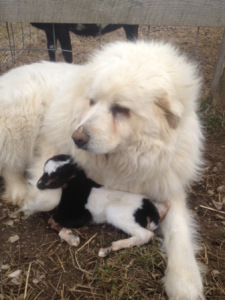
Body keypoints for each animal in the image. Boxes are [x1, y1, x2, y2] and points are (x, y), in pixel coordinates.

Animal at [0, 40, 204, 300]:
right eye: (92, 102)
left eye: (121, 109)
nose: (76, 138)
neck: (124, 158)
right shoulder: (50, 147)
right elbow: (48, 195)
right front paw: (31, 201)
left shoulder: (166, 184)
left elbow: (179, 230)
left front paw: (185, 281)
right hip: (21, 118)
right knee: (8, 161)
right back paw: (17, 190)